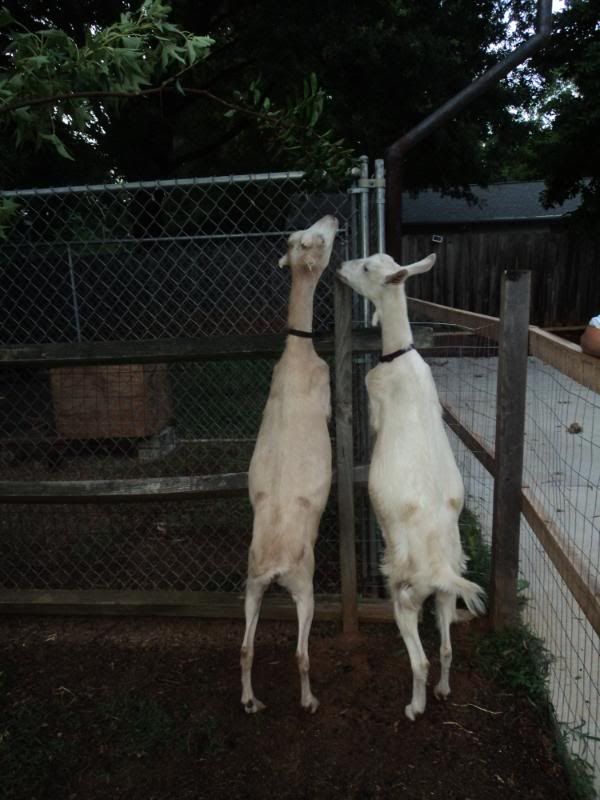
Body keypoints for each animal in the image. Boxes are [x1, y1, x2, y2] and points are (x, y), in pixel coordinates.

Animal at [337, 251, 485, 720]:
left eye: (367, 268)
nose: (340, 267)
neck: (399, 355)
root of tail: (437, 570)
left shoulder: (376, 396)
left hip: (405, 594)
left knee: (419, 658)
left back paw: (414, 707)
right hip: (445, 593)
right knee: (446, 649)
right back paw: (441, 691)